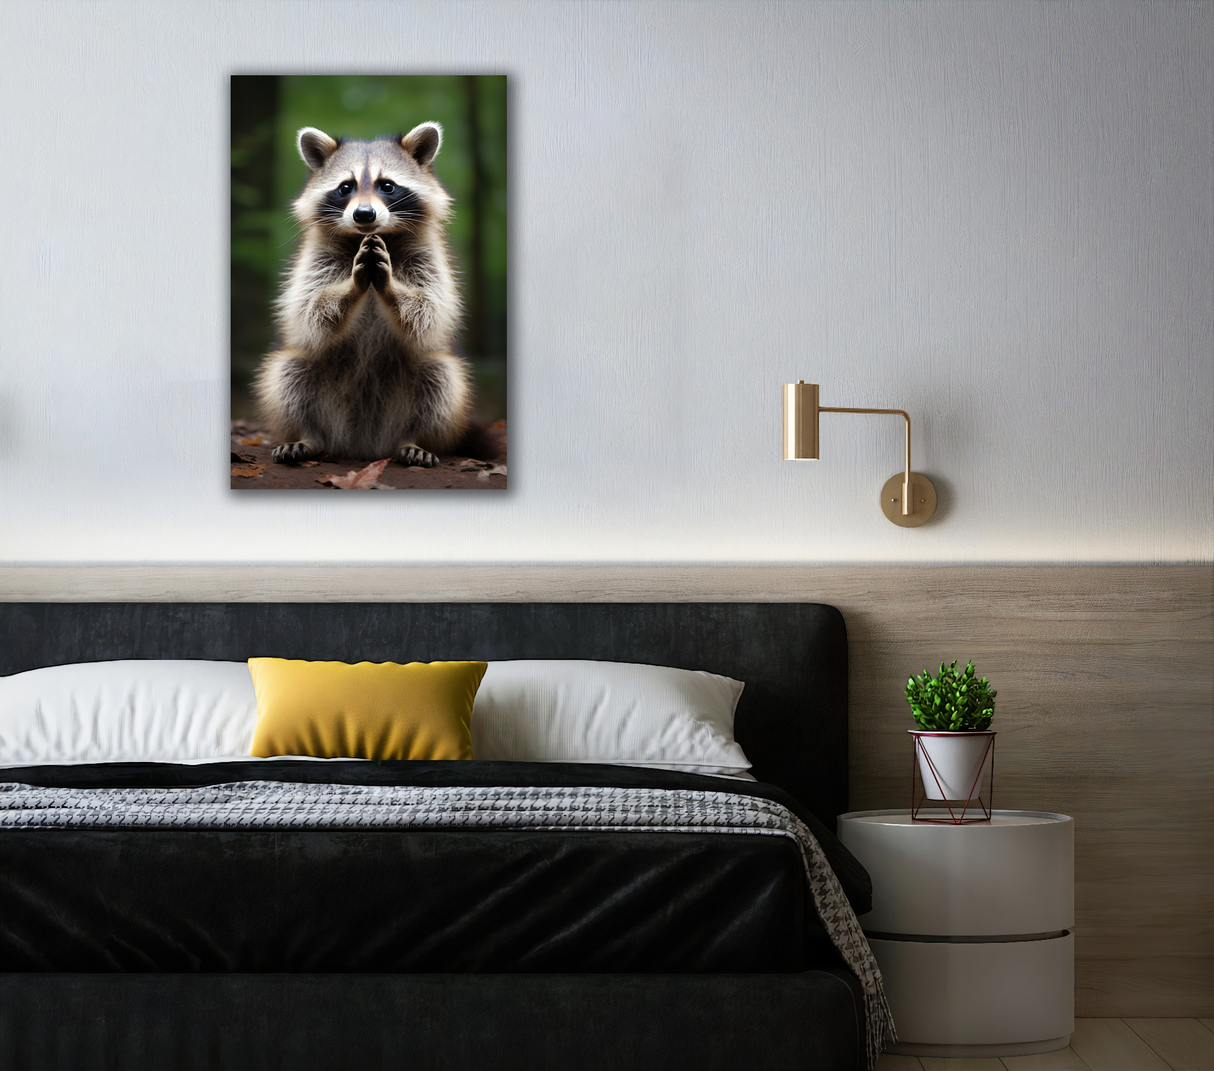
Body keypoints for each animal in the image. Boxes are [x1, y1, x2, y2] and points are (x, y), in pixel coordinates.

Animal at [255, 122, 474, 467]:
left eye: (387, 186)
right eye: (346, 187)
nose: (364, 214)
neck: (370, 237)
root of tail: (363, 445)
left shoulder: (429, 258)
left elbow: (428, 311)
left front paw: (393, 288)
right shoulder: (315, 259)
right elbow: (310, 311)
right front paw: (349, 288)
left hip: (428, 384)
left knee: (441, 378)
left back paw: (414, 438)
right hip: (306, 379)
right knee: (289, 372)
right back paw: (308, 435)